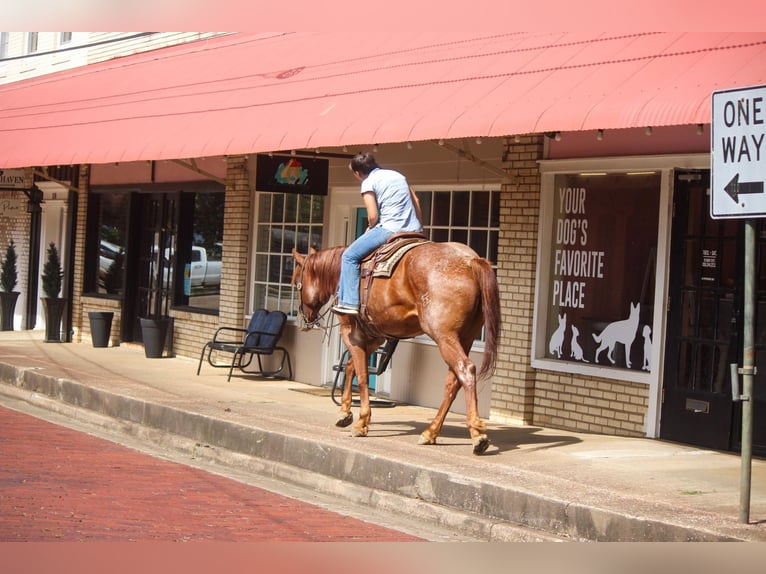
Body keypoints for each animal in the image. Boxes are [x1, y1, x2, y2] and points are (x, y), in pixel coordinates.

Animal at [292, 241, 500, 456]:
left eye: (296, 282)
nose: (303, 319)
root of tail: (470, 260)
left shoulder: (351, 333)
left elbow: (362, 375)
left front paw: (361, 422)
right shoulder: (375, 337)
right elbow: (351, 367)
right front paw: (345, 412)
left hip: (444, 336)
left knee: (466, 370)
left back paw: (477, 434)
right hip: (465, 338)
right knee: (453, 381)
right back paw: (431, 432)